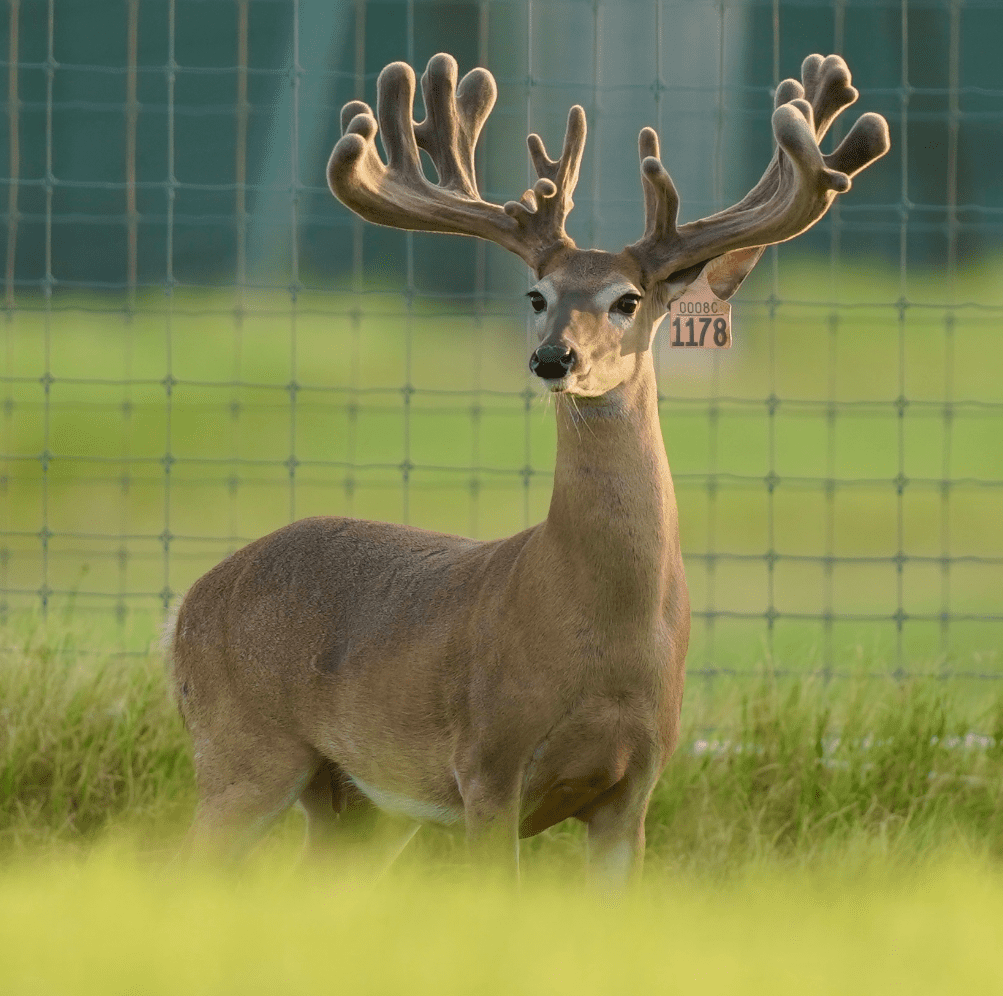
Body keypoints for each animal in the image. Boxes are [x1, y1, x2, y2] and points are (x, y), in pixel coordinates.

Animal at [165, 52, 888, 884]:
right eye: (536, 294)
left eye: (627, 300)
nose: (552, 358)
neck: (599, 634)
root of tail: (187, 603)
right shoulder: (487, 765)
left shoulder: (635, 789)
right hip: (240, 746)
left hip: (354, 799)